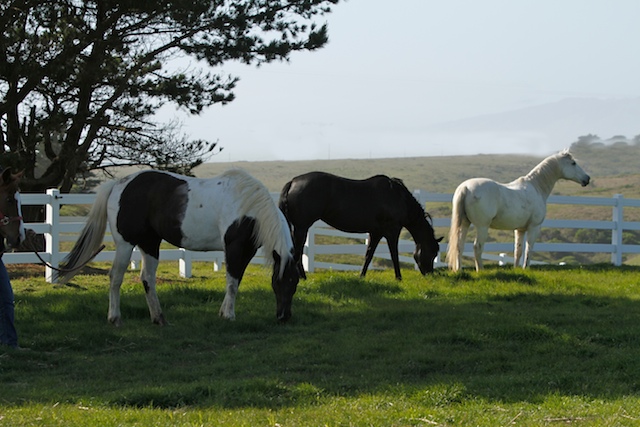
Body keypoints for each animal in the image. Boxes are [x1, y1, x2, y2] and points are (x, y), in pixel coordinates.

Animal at [55, 169, 299, 325]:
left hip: (150, 243)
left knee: (147, 279)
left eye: (295, 282)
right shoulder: (234, 248)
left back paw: (159, 318)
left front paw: (223, 312)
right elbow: (231, 283)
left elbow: (235, 281)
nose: (284, 317)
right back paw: (115, 318)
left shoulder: (246, 251)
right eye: (280, 282)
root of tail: (118, 185)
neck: (248, 206)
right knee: (116, 277)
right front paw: (228, 315)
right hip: (125, 244)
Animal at [279, 171, 443, 281]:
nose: (429, 273)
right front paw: (398, 277)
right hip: (301, 228)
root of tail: (293, 182)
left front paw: (362, 276)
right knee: (297, 252)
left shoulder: (376, 233)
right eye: (433, 252)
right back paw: (302, 277)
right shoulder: (392, 231)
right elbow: (394, 255)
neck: (398, 197)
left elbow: (369, 255)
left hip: (299, 228)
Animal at [447, 149, 590, 272]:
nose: (587, 179)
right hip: (482, 226)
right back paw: (480, 270)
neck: (536, 187)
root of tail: (465, 187)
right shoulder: (534, 227)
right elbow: (529, 249)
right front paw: (526, 268)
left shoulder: (519, 229)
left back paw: (459, 270)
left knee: (459, 246)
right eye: (573, 163)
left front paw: (516, 269)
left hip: (465, 223)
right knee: (477, 247)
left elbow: (518, 250)